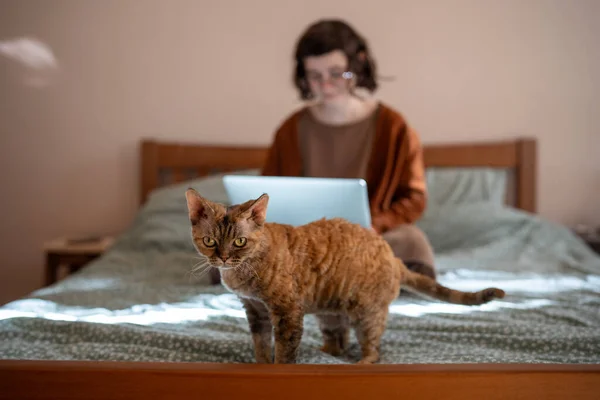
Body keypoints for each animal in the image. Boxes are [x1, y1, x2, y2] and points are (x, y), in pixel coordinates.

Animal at [185, 189, 504, 364]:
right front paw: (260, 366)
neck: (241, 275)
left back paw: (360, 362)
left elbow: (284, 353)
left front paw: (279, 367)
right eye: (210, 241)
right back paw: (323, 351)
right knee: (338, 342)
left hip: (366, 313)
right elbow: (261, 347)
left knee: (373, 350)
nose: (223, 258)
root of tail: (394, 257)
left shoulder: (287, 311)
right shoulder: (255, 311)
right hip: (327, 313)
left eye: (239, 242)